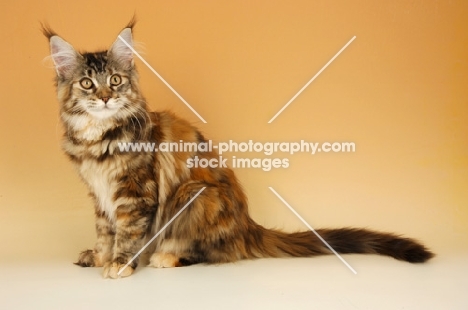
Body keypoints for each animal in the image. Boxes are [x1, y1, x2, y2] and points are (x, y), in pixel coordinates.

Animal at [42, 21, 434, 278]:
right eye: (87, 84)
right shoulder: (100, 194)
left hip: (192, 194)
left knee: (216, 253)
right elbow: (104, 230)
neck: (97, 137)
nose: (105, 98)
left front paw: (120, 263)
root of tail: (248, 225)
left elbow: (127, 231)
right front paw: (100, 256)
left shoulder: (134, 193)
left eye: (116, 81)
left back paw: (166, 257)